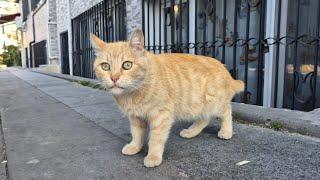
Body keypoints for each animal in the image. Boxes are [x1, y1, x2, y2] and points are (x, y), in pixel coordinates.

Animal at [91, 28, 244, 167]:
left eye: (127, 65)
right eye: (105, 66)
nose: (114, 78)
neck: (133, 93)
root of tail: (225, 69)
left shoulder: (161, 116)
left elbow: (156, 138)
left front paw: (153, 156)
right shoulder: (136, 117)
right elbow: (136, 133)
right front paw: (134, 146)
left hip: (215, 103)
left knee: (226, 112)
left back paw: (226, 131)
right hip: (198, 106)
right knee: (204, 119)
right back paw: (191, 132)